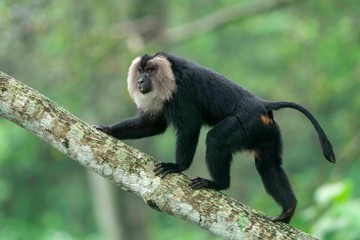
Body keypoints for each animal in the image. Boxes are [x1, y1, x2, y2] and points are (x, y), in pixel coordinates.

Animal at [95, 52, 334, 223]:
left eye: (151, 70)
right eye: (142, 70)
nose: (141, 81)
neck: (171, 75)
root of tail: (262, 104)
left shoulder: (182, 95)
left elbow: (189, 129)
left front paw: (177, 167)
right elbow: (153, 124)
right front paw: (109, 130)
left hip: (246, 123)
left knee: (216, 140)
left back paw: (218, 184)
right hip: (266, 131)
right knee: (269, 164)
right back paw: (288, 209)